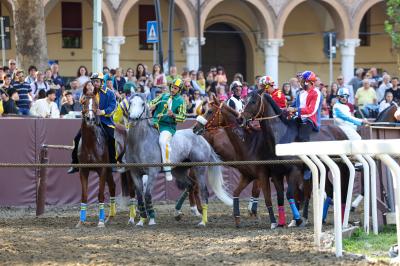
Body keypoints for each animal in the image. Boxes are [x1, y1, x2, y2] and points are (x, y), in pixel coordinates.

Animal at [76, 88, 116, 228]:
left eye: (96, 104)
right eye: (83, 103)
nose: (90, 118)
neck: (91, 144)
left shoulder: (102, 170)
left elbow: (100, 195)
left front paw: (100, 221)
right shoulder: (83, 171)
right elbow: (84, 195)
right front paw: (81, 221)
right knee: (113, 187)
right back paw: (110, 217)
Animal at [126, 93, 233, 227]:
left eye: (142, 104)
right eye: (130, 103)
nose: (133, 119)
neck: (140, 142)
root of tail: (201, 138)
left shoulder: (152, 173)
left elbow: (148, 195)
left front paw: (151, 219)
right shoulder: (135, 173)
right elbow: (140, 197)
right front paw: (141, 221)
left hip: (199, 169)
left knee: (203, 191)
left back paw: (203, 221)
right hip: (179, 171)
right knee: (190, 185)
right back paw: (178, 213)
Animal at [193, 96, 284, 230]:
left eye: (209, 111)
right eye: (204, 110)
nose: (195, 127)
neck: (250, 142)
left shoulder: (258, 175)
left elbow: (261, 194)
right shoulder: (252, 175)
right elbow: (246, 191)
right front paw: (244, 215)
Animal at [241, 91, 350, 227]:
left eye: (253, 101)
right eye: (244, 100)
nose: (242, 118)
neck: (281, 136)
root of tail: (340, 131)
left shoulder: (294, 171)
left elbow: (289, 194)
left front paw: (297, 219)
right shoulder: (277, 173)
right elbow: (281, 197)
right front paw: (283, 222)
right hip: (322, 170)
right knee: (330, 191)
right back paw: (322, 219)